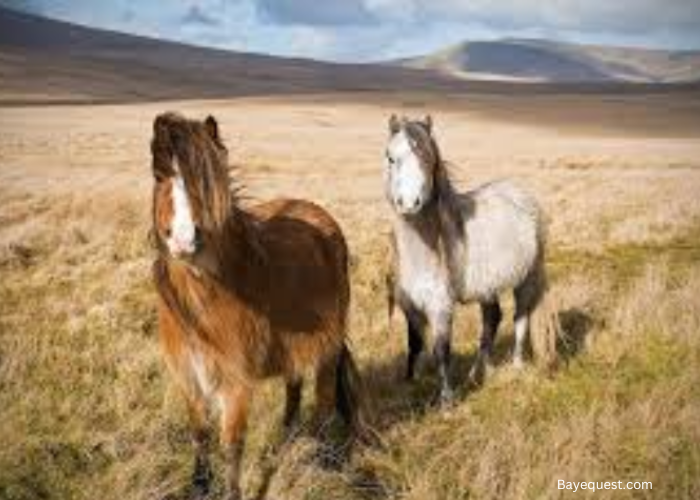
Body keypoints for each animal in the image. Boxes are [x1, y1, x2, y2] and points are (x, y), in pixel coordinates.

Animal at [150, 112, 364, 500]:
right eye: (160, 174)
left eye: (208, 180)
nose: (185, 240)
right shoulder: (189, 376)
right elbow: (200, 434)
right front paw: (199, 485)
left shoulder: (235, 382)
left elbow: (232, 444)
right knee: (294, 391)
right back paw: (288, 440)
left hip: (327, 349)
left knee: (324, 402)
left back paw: (323, 461)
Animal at [386, 114, 548, 402]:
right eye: (390, 157)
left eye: (428, 159)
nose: (408, 203)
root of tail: (520, 192)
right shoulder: (409, 306)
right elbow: (414, 345)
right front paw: (410, 383)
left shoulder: (441, 307)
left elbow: (441, 350)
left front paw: (446, 400)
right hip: (488, 288)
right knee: (492, 320)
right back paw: (478, 373)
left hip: (527, 278)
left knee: (521, 318)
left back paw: (516, 366)